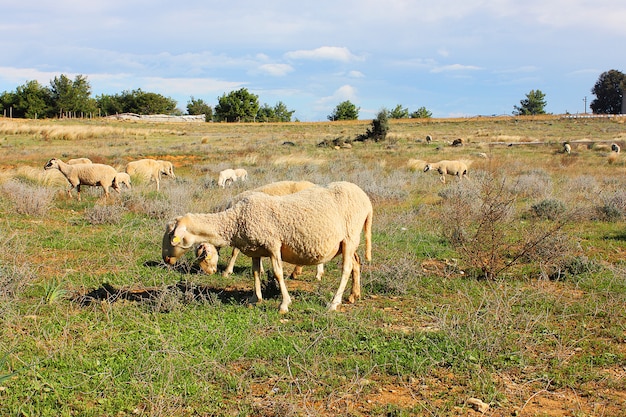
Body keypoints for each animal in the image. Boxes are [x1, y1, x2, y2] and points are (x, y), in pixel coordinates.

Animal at [163, 180, 372, 312]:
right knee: (356, 262)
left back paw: (334, 303)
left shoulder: (273, 245)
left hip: (350, 236)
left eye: (172, 235)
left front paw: (284, 304)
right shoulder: (256, 250)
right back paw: (354, 295)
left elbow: (278, 273)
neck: (236, 219)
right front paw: (255, 298)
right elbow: (255, 272)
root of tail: (366, 200)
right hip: (348, 242)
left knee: (346, 268)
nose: (165, 259)